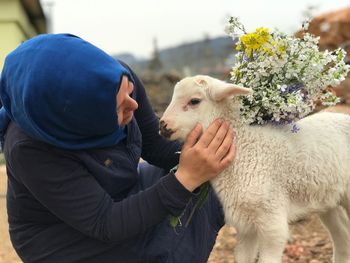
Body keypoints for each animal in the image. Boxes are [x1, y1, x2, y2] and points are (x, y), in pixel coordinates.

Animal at [160, 75, 350, 263]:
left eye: (194, 101)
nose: (163, 126)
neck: (246, 152)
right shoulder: (245, 225)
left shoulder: (272, 220)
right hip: (327, 197)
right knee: (342, 235)